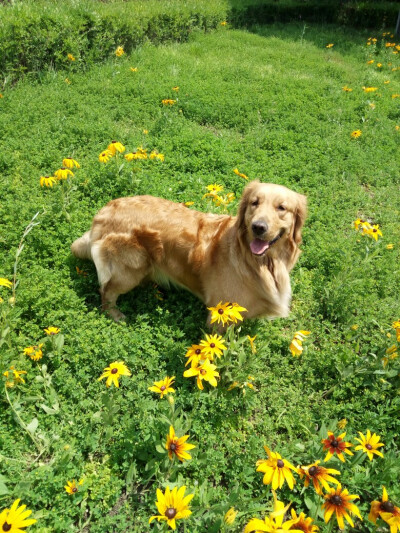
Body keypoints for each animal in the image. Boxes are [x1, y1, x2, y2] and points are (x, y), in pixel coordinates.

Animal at [71, 182, 306, 324]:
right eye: (254, 203)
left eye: (281, 208)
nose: (258, 227)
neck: (260, 263)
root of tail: (102, 213)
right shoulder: (221, 311)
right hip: (131, 268)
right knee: (106, 291)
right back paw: (114, 314)